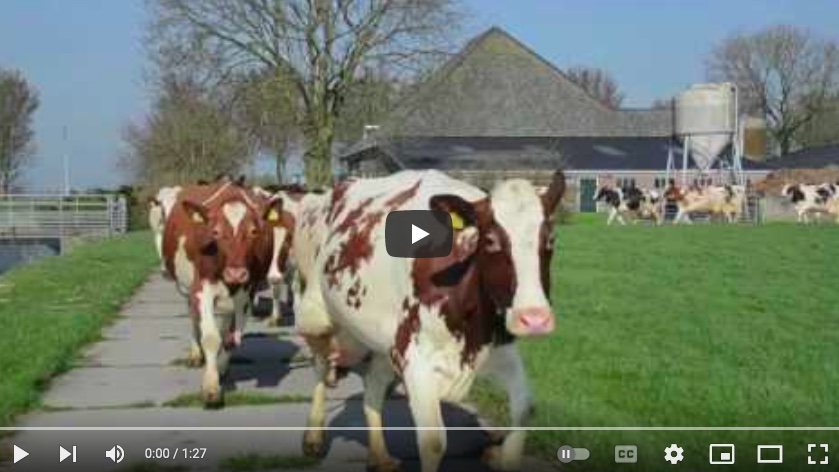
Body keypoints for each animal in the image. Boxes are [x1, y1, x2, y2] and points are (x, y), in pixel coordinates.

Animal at [161, 177, 286, 406]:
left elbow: (230, 338)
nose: (235, 273)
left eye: (254, 231)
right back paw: (195, 354)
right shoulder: (201, 289)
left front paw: (220, 369)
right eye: (216, 232)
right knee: (193, 317)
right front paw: (211, 387)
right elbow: (210, 337)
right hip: (185, 288)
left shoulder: (247, 293)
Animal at [296, 170, 564, 472]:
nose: (534, 318)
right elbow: (433, 442)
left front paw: (498, 456)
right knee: (321, 363)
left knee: (373, 387)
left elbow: (525, 408)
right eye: (491, 241)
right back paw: (313, 437)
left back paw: (380, 457)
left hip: (384, 341)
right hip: (318, 314)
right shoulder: (415, 356)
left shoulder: (500, 349)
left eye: (551, 240)